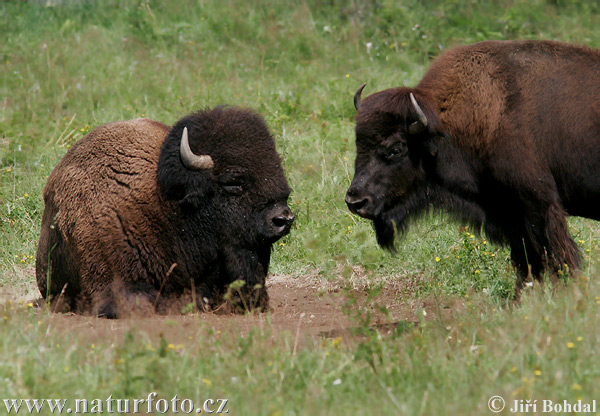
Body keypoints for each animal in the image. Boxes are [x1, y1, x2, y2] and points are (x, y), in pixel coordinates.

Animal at [344, 40, 600, 290]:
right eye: (358, 144)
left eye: (396, 149)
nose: (355, 201)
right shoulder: (512, 216)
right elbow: (526, 263)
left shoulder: (539, 204)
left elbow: (557, 257)